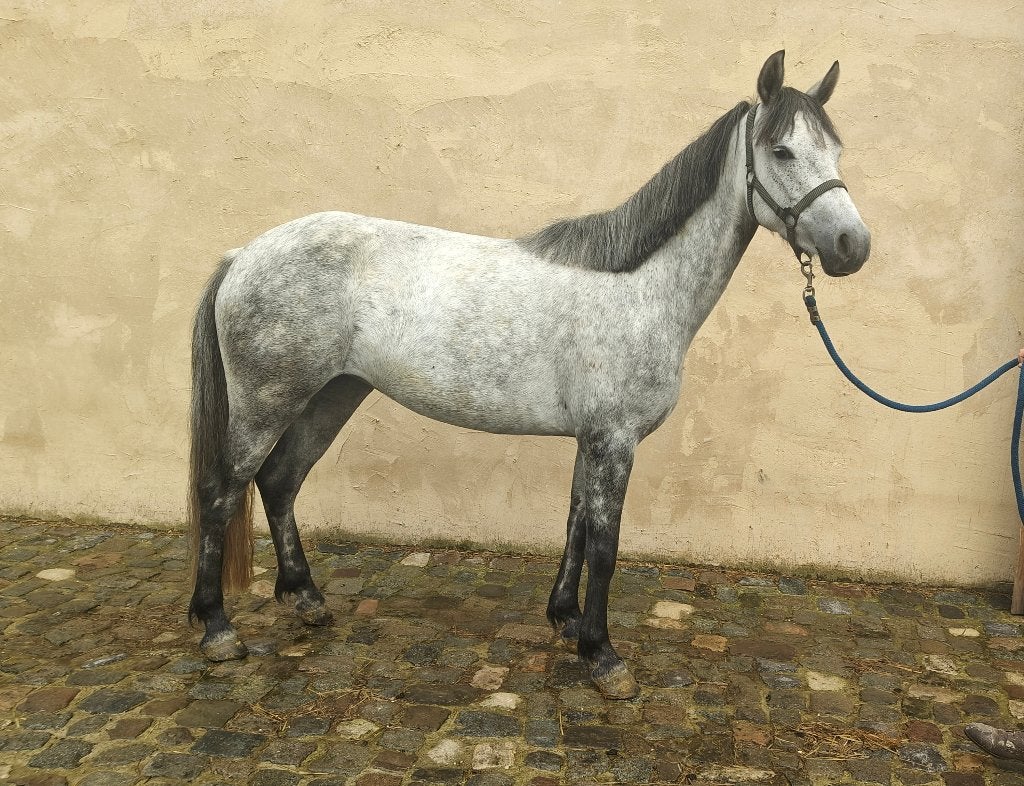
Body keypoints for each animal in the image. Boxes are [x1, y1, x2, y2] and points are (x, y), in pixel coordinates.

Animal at [187, 50, 870, 699]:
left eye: (836, 149)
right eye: (781, 150)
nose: (852, 246)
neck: (640, 287)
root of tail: (243, 256)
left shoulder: (592, 439)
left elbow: (576, 524)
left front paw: (565, 620)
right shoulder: (615, 439)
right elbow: (605, 543)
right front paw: (604, 656)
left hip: (331, 395)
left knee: (280, 482)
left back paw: (305, 599)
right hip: (268, 400)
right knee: (223, 492)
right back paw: (217, 628)